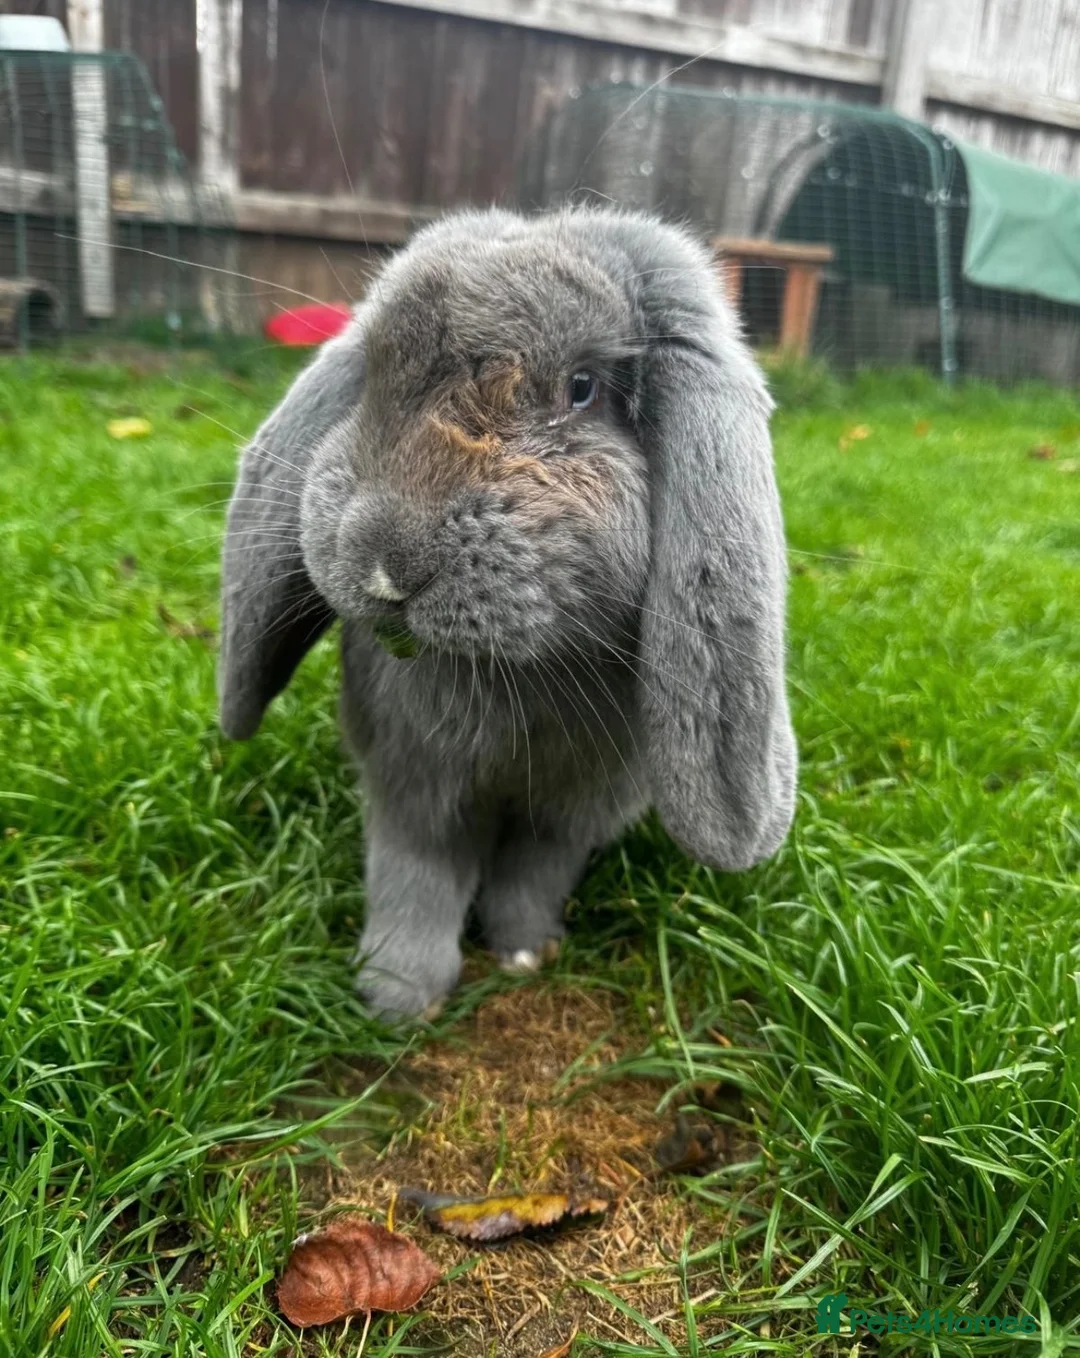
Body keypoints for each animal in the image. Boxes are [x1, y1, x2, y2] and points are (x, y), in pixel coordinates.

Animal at [218, 206, 797, 1018]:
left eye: (583, 388)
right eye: (373, 376)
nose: (388, 562)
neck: (514, 674)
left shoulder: (577, 807)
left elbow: (533, 871)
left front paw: (526, 952)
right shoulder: (414, 783)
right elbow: (416, 876)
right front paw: (398, 997)